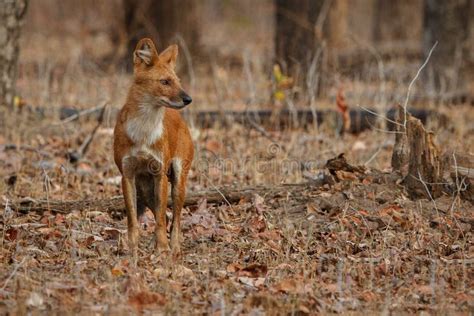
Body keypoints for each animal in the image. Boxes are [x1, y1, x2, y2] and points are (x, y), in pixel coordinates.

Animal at [114, 37, 193, 260]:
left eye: (178, 81)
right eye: (165, 82)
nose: (188, 99)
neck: (143, 129)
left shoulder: (160, 174)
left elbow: (160, 220)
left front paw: (163, 249)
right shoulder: (127, 175)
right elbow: (133, 220)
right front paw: (132, 250)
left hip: (177, 181)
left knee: (174, 218)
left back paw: (174, 247)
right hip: (145, 187)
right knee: (164, 215)